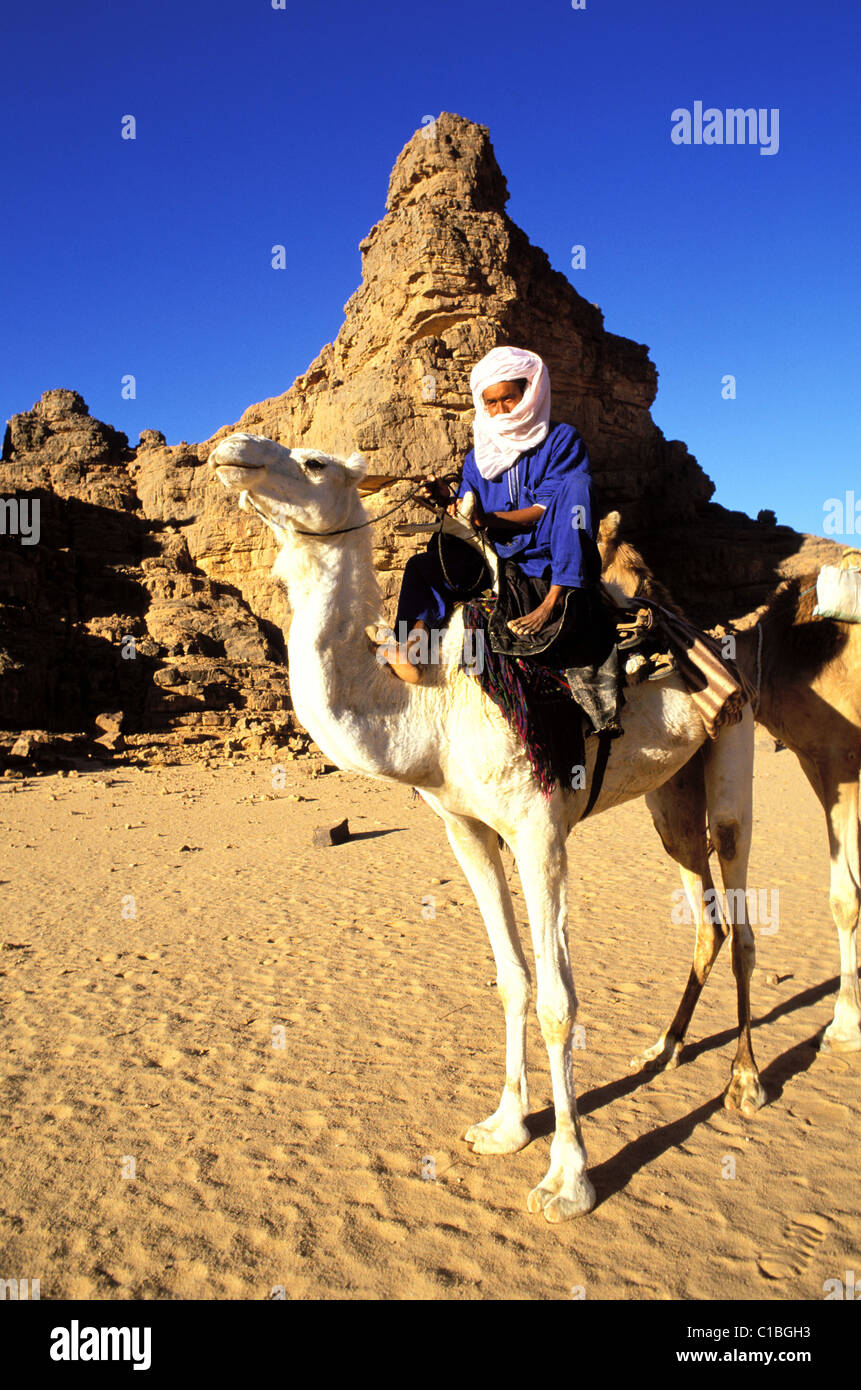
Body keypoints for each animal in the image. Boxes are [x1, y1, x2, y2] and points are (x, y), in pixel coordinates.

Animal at [208, 433, 760, 1221]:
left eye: (313, 462)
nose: (232, 450)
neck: (431, 708)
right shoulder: (464, 828)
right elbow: (511, 979)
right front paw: (504, 1127)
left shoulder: (538, 829)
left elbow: (559, 1000)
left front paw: (566, 1179)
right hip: (669, 794)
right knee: (705, 914)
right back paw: (661, 1050)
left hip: (734, 743)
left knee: (741, 917)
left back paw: (745, 1083)